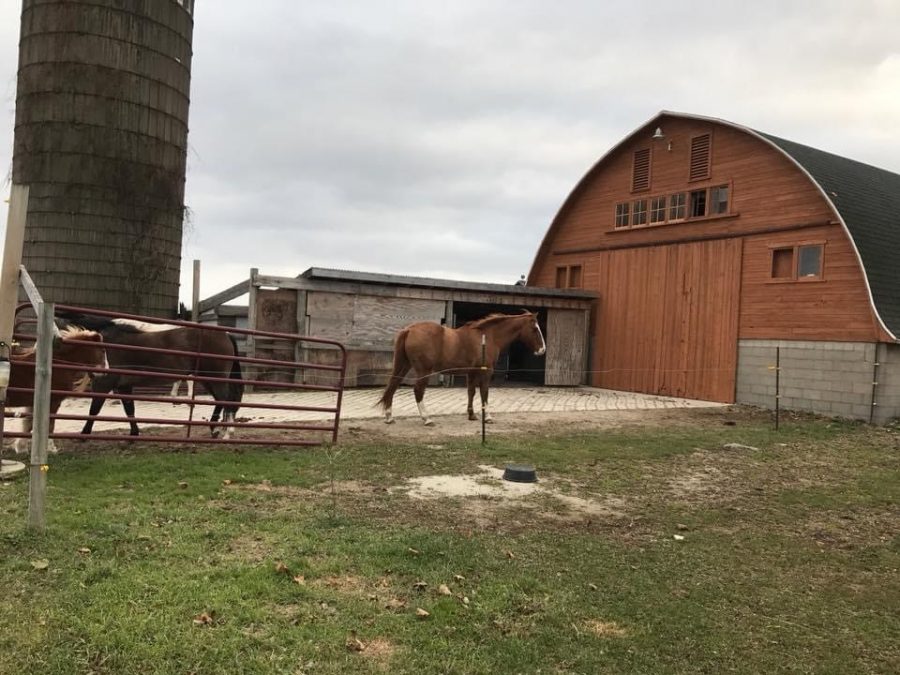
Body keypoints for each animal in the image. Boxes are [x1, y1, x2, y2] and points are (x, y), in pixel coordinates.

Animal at [58, 314, 244, 440]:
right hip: (207, 379)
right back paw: (215, 429)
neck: (105, 343)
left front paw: (84, 434)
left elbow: (94, 410)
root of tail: (226, 334)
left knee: (226, 400)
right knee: (220, 401)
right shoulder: (123, 386)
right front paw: (134, 433)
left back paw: (226, 433)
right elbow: (129, 410)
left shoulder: (104, 384)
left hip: (215, 378)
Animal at [376, 308, 544, 426]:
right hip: (423, 371)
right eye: (535, 329)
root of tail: (409, 329)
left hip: (404, 365)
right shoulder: (486, 372)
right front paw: (488, 417)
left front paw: (471, 415)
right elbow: (484, 393)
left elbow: (471, 392)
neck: (487, 336)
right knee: (418, 390)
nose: (542, 350)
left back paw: (389, 417)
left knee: (393, 385)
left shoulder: (471, 372)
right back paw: (427, 418)